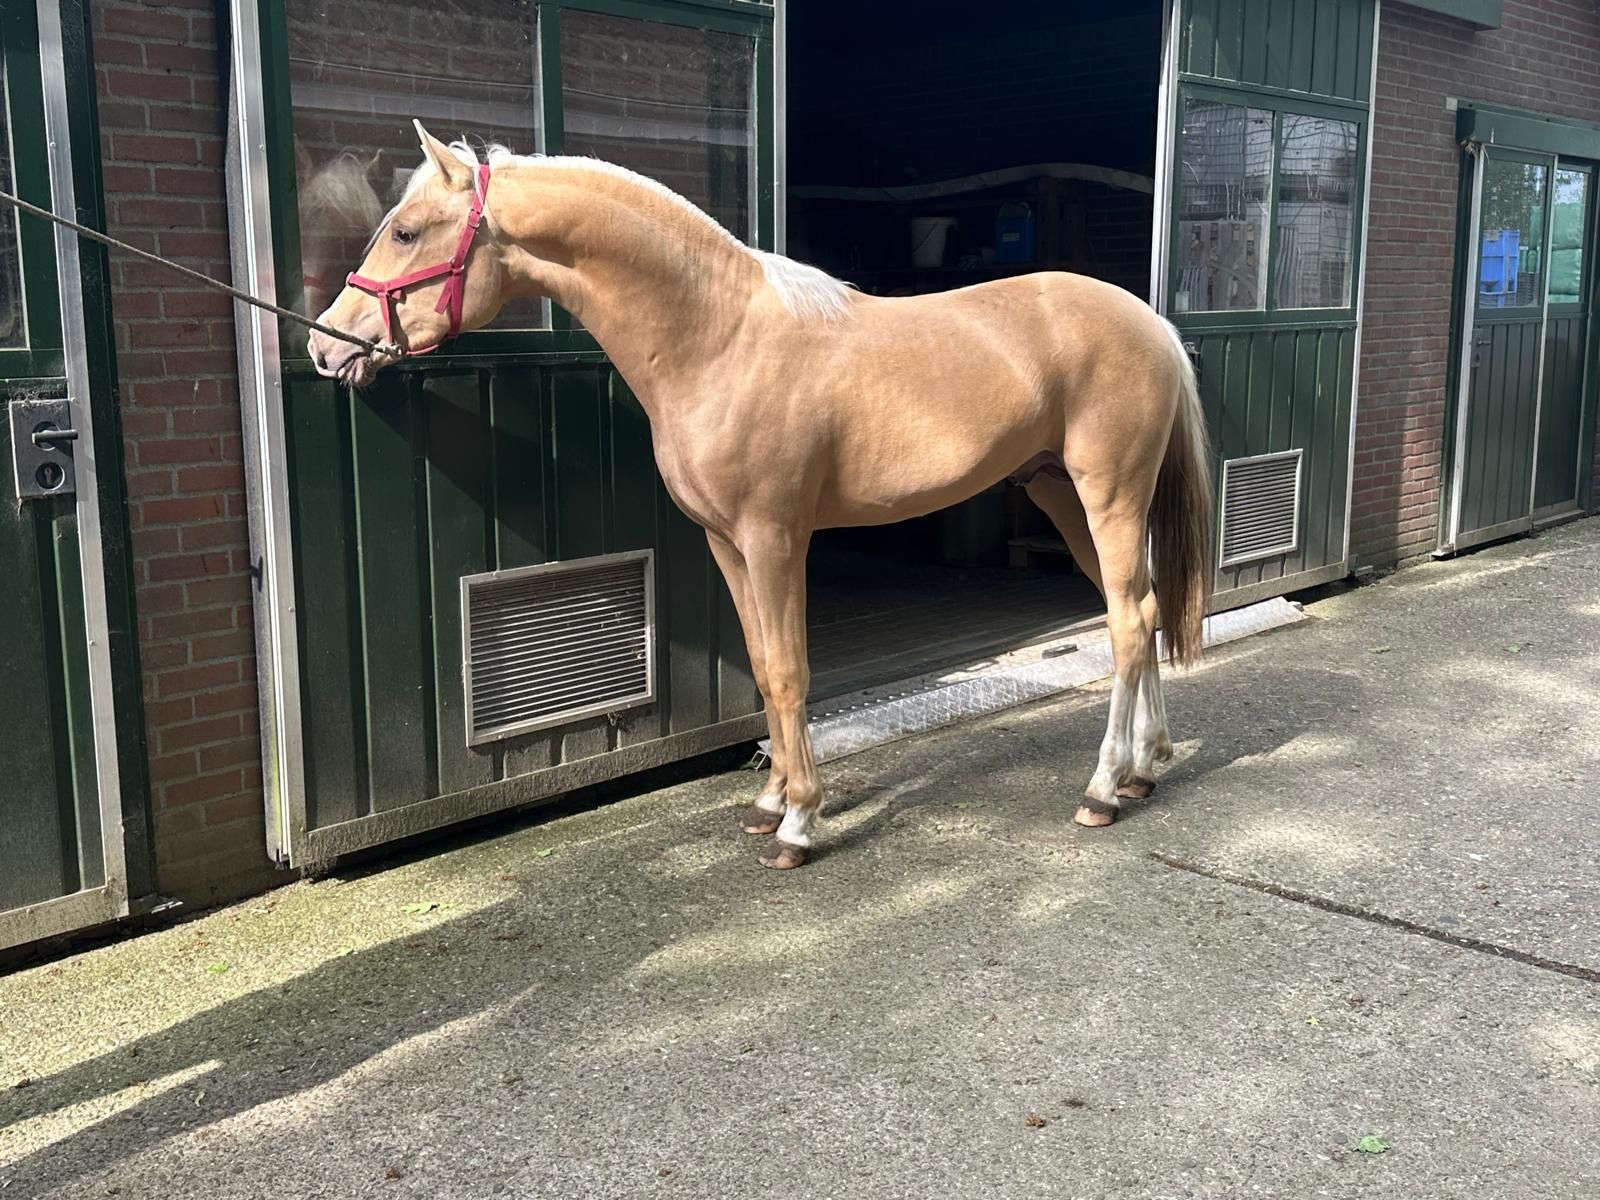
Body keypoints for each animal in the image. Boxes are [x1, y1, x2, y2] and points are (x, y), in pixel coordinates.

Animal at [308, 122, 1214, 871]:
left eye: (406, 231)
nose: (326, 346)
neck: (717, 338)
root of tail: (1152, 323)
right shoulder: (726, 542)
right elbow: (757, 660)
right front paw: (772, 799)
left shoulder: (776, 536)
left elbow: (785, 669)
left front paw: (800, 823)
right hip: (1065, 499)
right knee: (1139, 612)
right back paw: (1147, 767)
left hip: (1109, 496)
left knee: (1128, 624)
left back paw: (1103, 789)